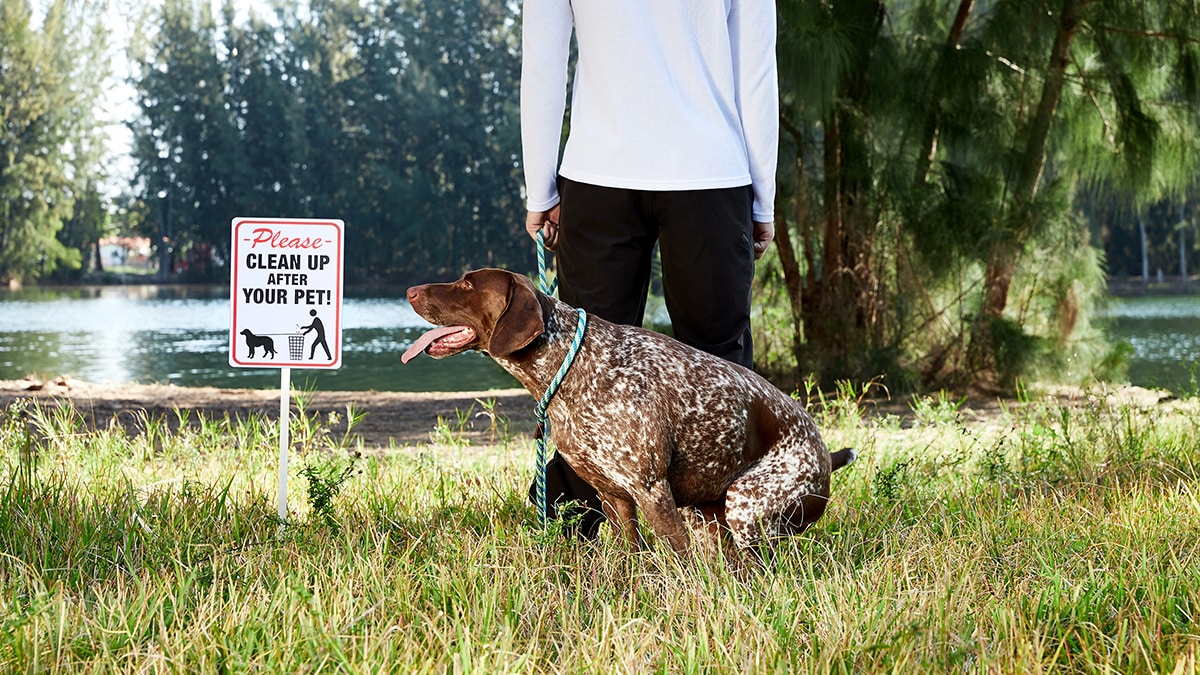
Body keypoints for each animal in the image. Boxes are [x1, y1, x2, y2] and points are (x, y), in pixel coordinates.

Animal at [403, 265, 854, 559]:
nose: (409, 292)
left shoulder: (652, 490)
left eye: (466, 283)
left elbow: (678, 559)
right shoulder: (614, 495)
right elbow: (628, 559)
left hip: (748, 504)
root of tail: (825, 455)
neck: (575, 365)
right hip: (709, 515)